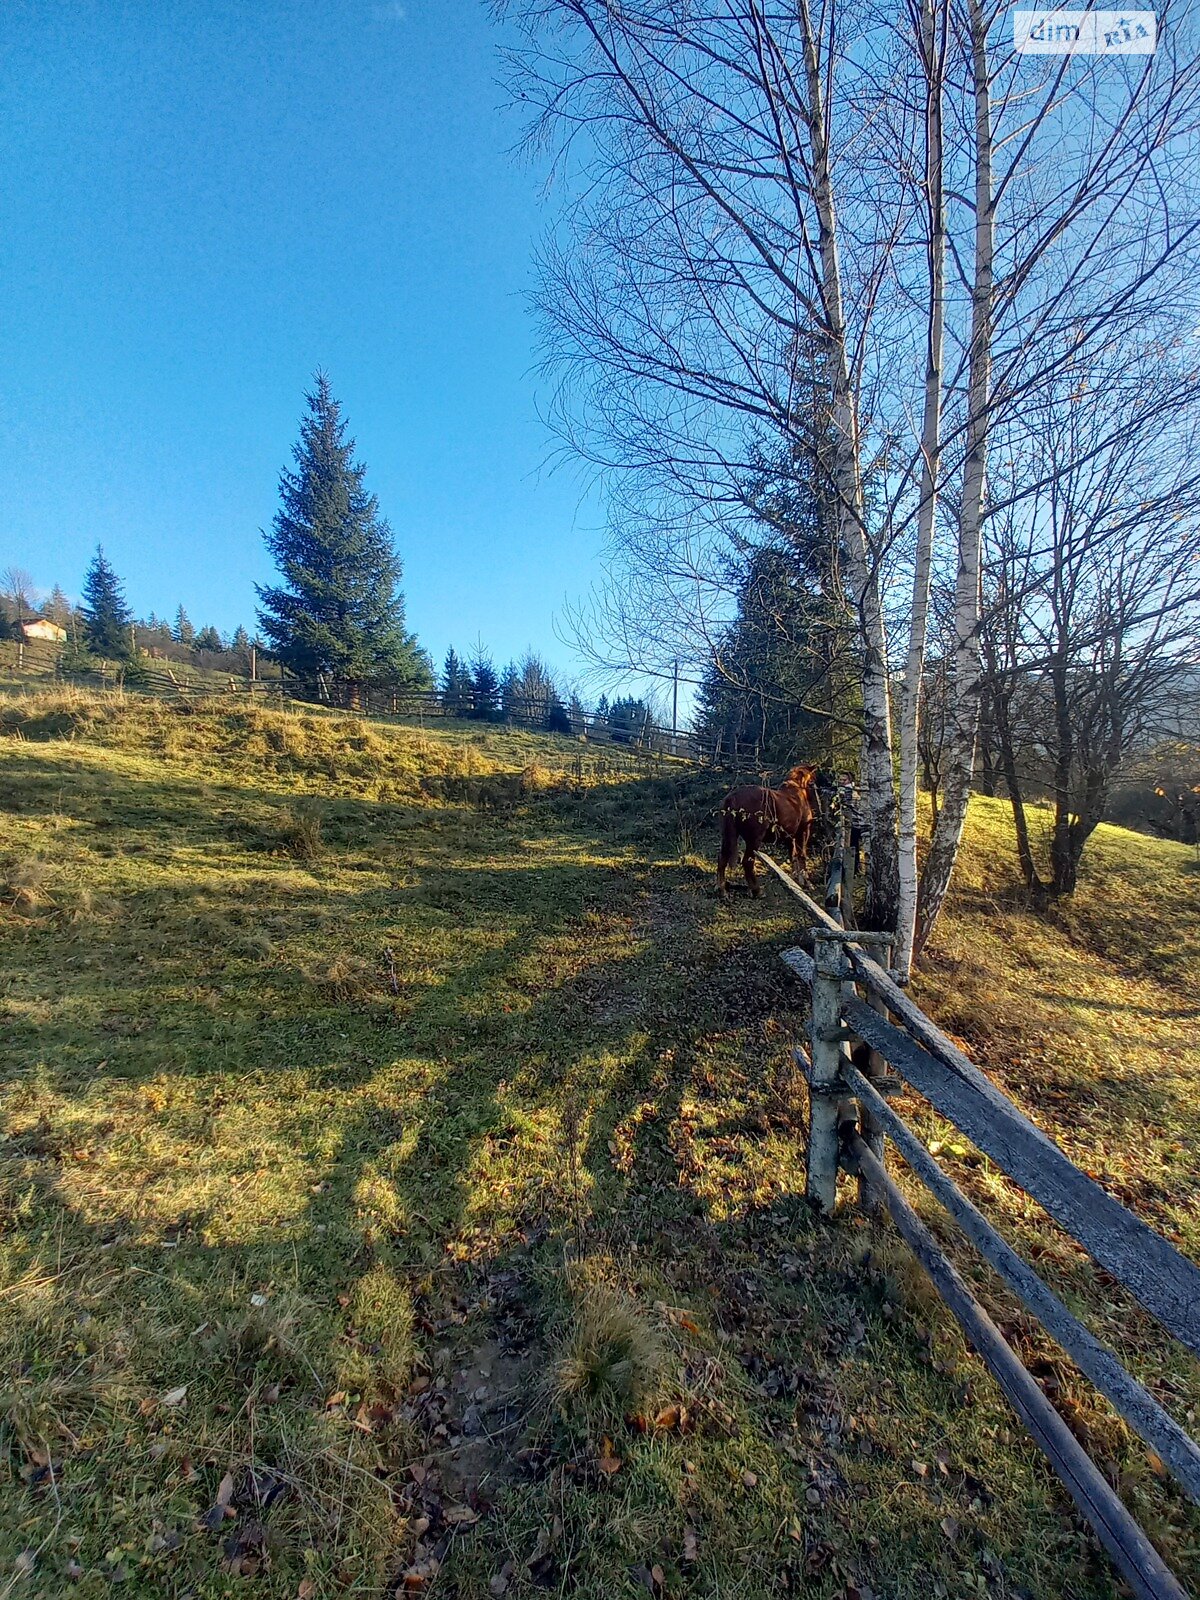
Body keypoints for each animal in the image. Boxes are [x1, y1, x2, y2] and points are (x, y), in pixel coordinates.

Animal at [720, 764, 825, 902]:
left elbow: (793, 856)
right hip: (754, 840)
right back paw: (757, 891)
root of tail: (733, 797)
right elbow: (801, 856)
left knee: (722, 858)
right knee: (747, 862)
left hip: (728, 836)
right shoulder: (803, 832)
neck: (797, 792)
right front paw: (806, 883)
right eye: (813, 778)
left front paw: (796, 880)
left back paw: (722, 890)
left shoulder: (789, 836)